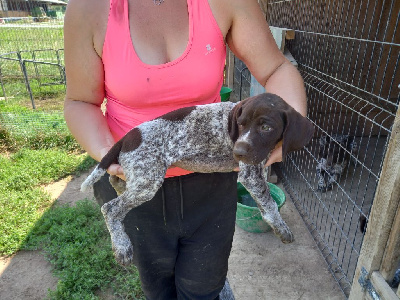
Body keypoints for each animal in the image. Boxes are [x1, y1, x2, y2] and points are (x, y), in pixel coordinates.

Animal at [81, 93, 314, 264]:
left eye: (266, 127)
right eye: (240, 124)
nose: (238, 152)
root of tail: (127, 138)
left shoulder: (258, 167)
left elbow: (265, 202)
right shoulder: (249, 174)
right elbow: (270, 204)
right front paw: (281, 228)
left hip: (138, 178)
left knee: (116, 184)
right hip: (147, 182)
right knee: (110, 208)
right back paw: (122, 246)